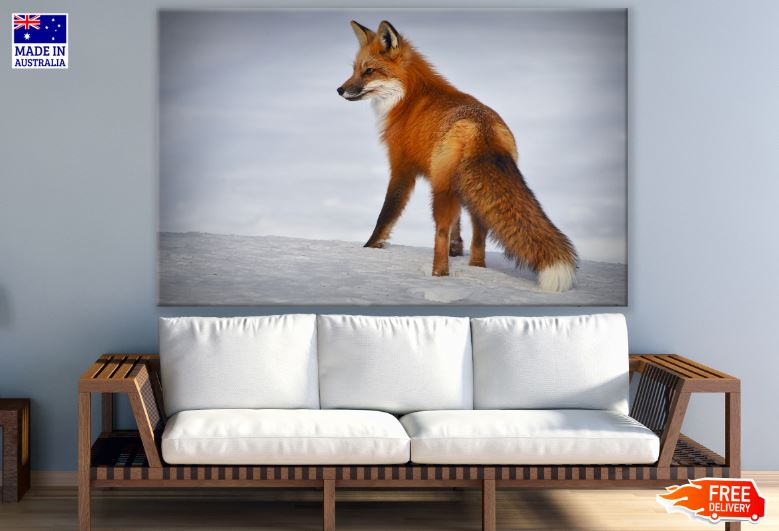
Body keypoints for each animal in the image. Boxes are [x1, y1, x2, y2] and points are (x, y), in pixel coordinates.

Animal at [337, 20, 577, 292]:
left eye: (369, 71)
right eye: (354, 70)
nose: (340, 89)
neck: (408, 99)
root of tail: (482, 129)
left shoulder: (402, 168)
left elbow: (386, 215)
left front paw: (370, 248)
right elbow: (458, 228)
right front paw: (457, 249)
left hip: (441, 191)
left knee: (440, 232)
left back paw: (439, 275)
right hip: (469, 191)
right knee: (480, 233)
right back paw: (476, 268)